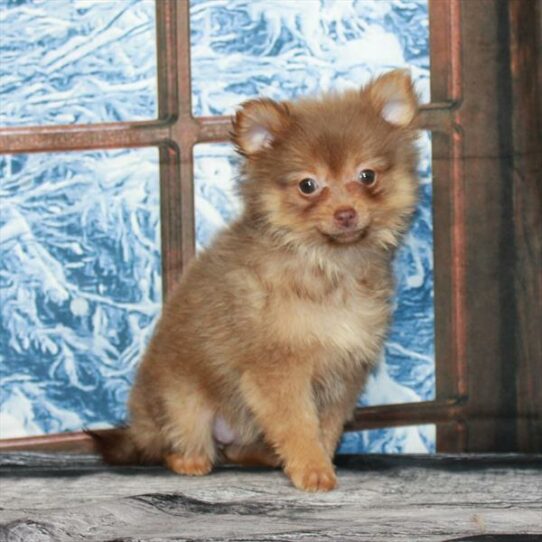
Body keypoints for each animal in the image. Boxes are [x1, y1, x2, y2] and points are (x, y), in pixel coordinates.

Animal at [95, 68, 422, 492]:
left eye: (366, 176)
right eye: (307, 185)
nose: (346, 213)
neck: (327, 265)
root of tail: (141, 427)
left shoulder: (343, 374)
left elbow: (326, 428)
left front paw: (318, 461)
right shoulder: (277, 371)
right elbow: (298, 426)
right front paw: (313, 470)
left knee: (236, 450)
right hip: (185, 405)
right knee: (182, 445)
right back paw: (191, 462)